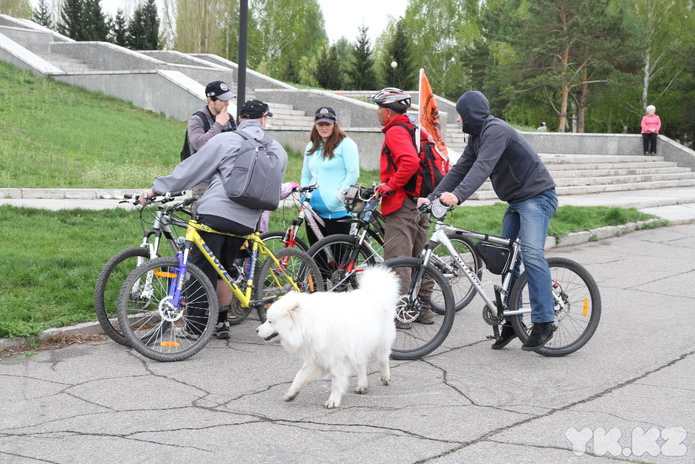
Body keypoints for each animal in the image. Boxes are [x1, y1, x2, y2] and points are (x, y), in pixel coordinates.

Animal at [256, 266, 400, 408]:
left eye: (270, 321)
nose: (257, 330)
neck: (310, 324)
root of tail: (373, 293)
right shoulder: (317, 358)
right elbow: (300, 375)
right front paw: (291, 393)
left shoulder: (337, 360)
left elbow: (336, 382)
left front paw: (333, 400)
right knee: (362, 366)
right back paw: (362, 385)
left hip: (380, 343)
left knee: (383, 359)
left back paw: (385, 377)